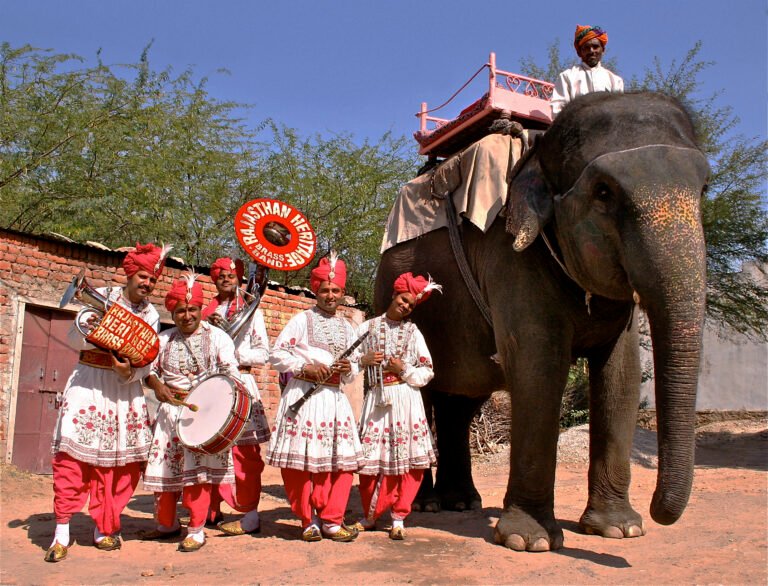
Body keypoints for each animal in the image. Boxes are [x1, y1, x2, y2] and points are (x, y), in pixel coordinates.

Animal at [374, 91, 709, 552]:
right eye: (603, 192)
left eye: (705, 188)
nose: (660, 511)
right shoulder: (511, 258)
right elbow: (538, 368)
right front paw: (528, 541)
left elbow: (621, 374)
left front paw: (619, 529)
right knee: (425, 397)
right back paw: (425, 506)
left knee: (462, 399)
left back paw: (459, 503)